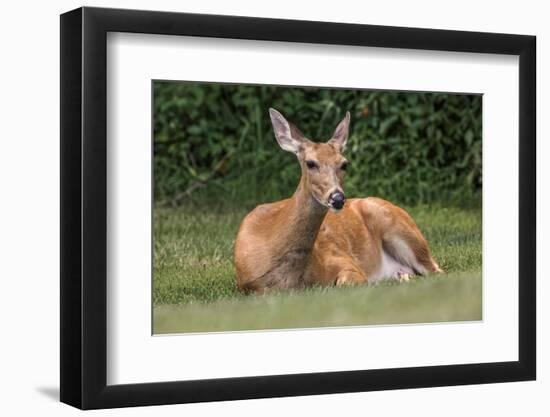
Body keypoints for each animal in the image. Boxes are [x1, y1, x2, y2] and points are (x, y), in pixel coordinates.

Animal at [234, 109, 444, 294]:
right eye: (310, 163)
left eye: (344, 164)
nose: (337, 198)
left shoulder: (345, 261)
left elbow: (344, 283)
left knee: (436, 271)